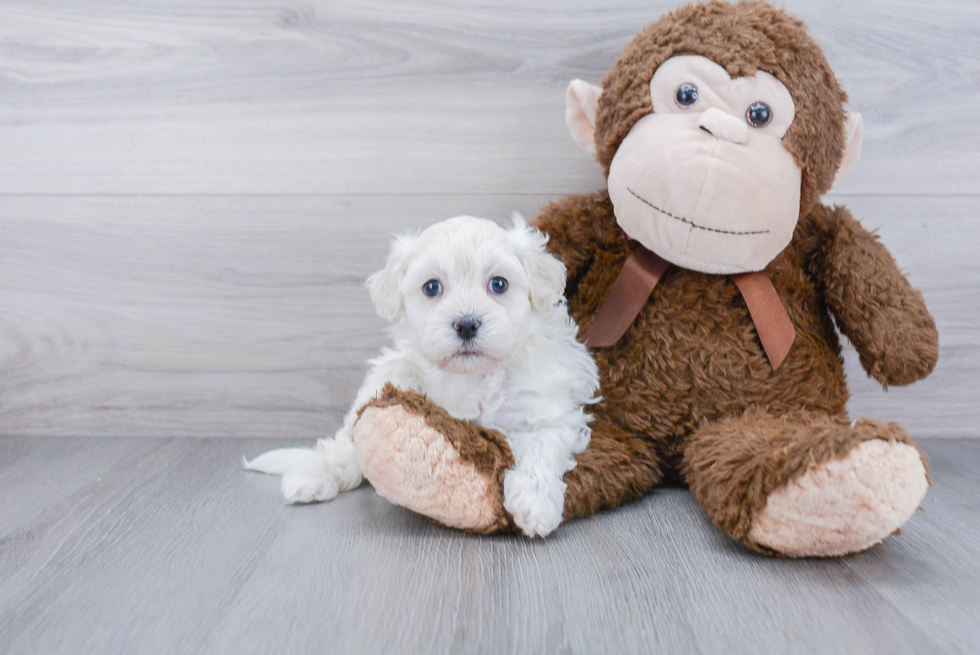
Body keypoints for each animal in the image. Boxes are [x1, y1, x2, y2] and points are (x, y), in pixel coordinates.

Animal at [245, 215, 596, 540]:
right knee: (344, 443)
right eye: (431, 287)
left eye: (499, 284)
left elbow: (543, 445)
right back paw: (313, 476)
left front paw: (535, 504)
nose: (466, 323)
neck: (473, 376)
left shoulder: (546, 406)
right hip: (385, 377)